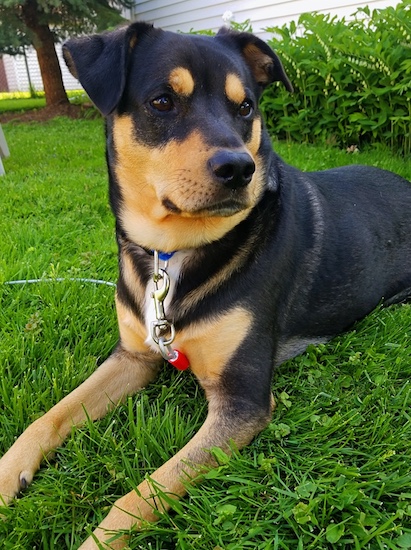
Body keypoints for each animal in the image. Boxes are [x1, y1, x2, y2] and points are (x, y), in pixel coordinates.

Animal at [0, 22, 411, 550]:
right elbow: (50, 415)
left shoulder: (242, 401)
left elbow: (144, 491)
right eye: (162, 102)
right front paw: (7, 475)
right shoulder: (132, 356)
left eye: (246, 107)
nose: (239, 168)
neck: (171, 253)